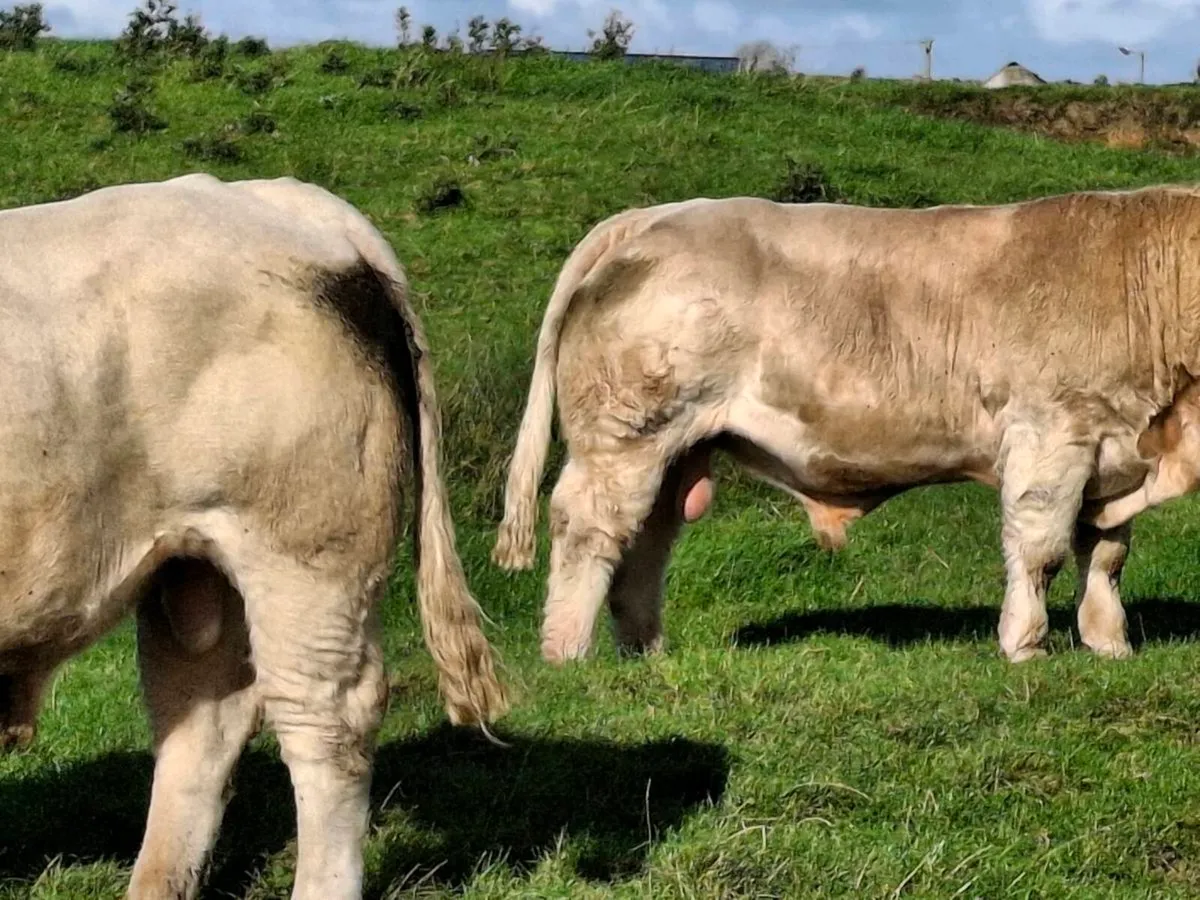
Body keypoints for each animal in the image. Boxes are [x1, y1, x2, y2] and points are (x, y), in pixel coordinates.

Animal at [491, 185, 1200, 668]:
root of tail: (652, 216)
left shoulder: (1112, 453)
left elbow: (1105, 554)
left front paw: (1110, 645)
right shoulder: (1051, 433)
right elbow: (1042, 550)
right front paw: (1026, 645)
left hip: (674, 451)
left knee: (645, 542)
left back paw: (646, 653)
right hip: (624, 436)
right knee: (589, 527)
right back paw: (567, 653)